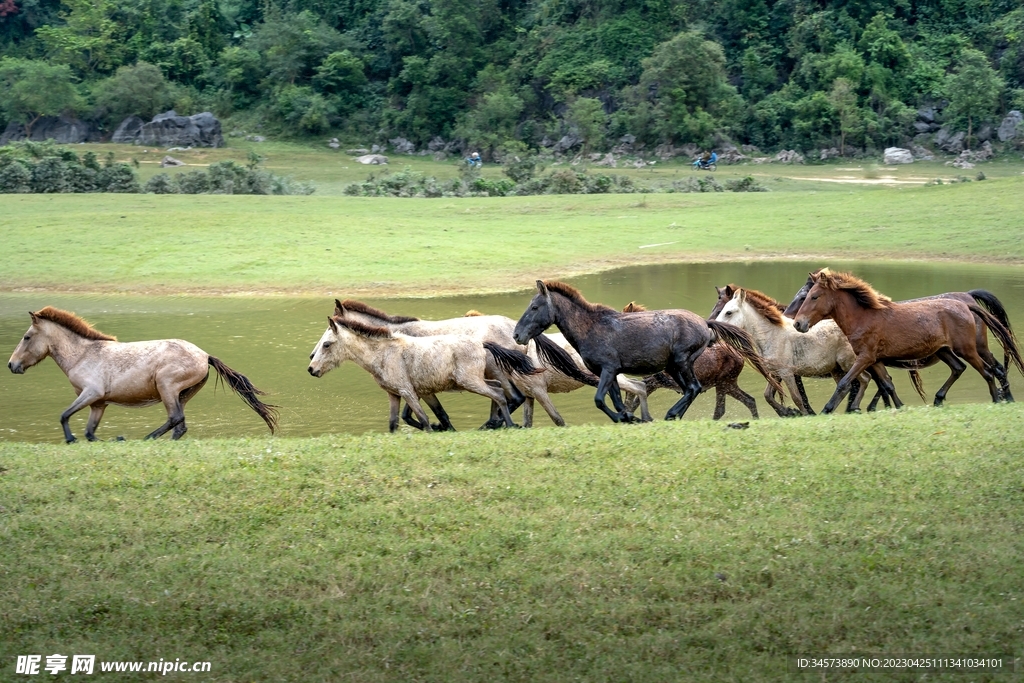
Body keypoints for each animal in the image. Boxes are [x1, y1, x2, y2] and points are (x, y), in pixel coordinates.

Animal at [6, 305, 278, 444]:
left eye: (26, 337)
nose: (11, 365)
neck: (83, 355)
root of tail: (204, 355)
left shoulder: (90, 393)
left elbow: (64, 415)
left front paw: (71, 439)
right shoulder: (98, 403)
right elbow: (90, 432)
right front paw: (99, 440)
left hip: (166, 386)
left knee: (175, 419)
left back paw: (145, 437)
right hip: (182, 393)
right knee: (180, 426)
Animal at [305, 313, 540, 430]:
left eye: (327, 344)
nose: (311, 368)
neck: (383, 353)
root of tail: (482, 344)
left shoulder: (408, 391)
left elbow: (424, 418)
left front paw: (434, 429)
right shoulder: (394, 394)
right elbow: (394, 423)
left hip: (471, 382)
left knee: (501, 395)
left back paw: (507, 425)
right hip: (476, 381)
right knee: (500, 391)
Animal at [507, 278, 778, 421]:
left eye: (534, 307)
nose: (517, 335)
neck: (591, 328)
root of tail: (706, 325)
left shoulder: (607, 370)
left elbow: (599, 400)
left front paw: (628, 419)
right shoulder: (609, 373)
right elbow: (617, 400)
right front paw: (628, 418)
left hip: (681, 362)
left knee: (693, 388)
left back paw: (671, 414)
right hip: (676, 367)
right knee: (692, 390)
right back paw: (673, 416)